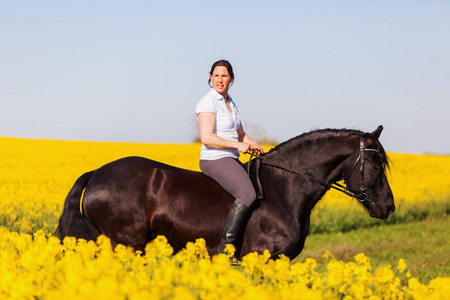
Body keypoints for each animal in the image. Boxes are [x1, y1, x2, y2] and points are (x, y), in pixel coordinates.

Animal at [55, 125, 394, 258]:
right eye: (376, 164)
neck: (286, 190)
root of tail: (97, 173)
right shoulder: (262, 257)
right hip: (126, 243)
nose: (388, 208)